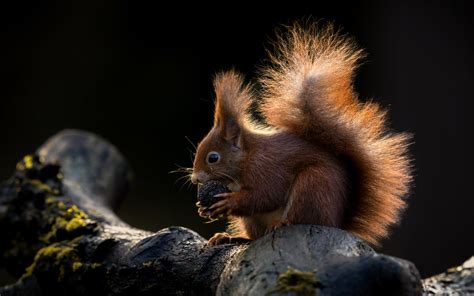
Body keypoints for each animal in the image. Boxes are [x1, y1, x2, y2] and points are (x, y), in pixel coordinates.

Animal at [189, 23, 412, 246]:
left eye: (213, 158)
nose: (195, 179)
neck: (247, 157)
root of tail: (335, 222)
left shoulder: (267, 168)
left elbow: (265, 195)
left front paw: (229, 202)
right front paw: (203, 209)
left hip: (312, 186)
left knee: (298, 217)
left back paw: (280, 224)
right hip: (256, 219)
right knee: (255, 237)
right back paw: (230, 237)